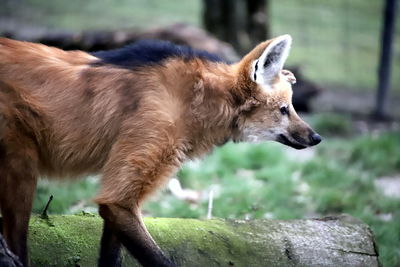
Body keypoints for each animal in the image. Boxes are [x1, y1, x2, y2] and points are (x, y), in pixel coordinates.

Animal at [0, 34, 320, 266]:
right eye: (284, 110)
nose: (316, 137)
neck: (196, 102)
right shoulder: (126, 190)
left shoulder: (119, 196)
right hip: (22, 164)